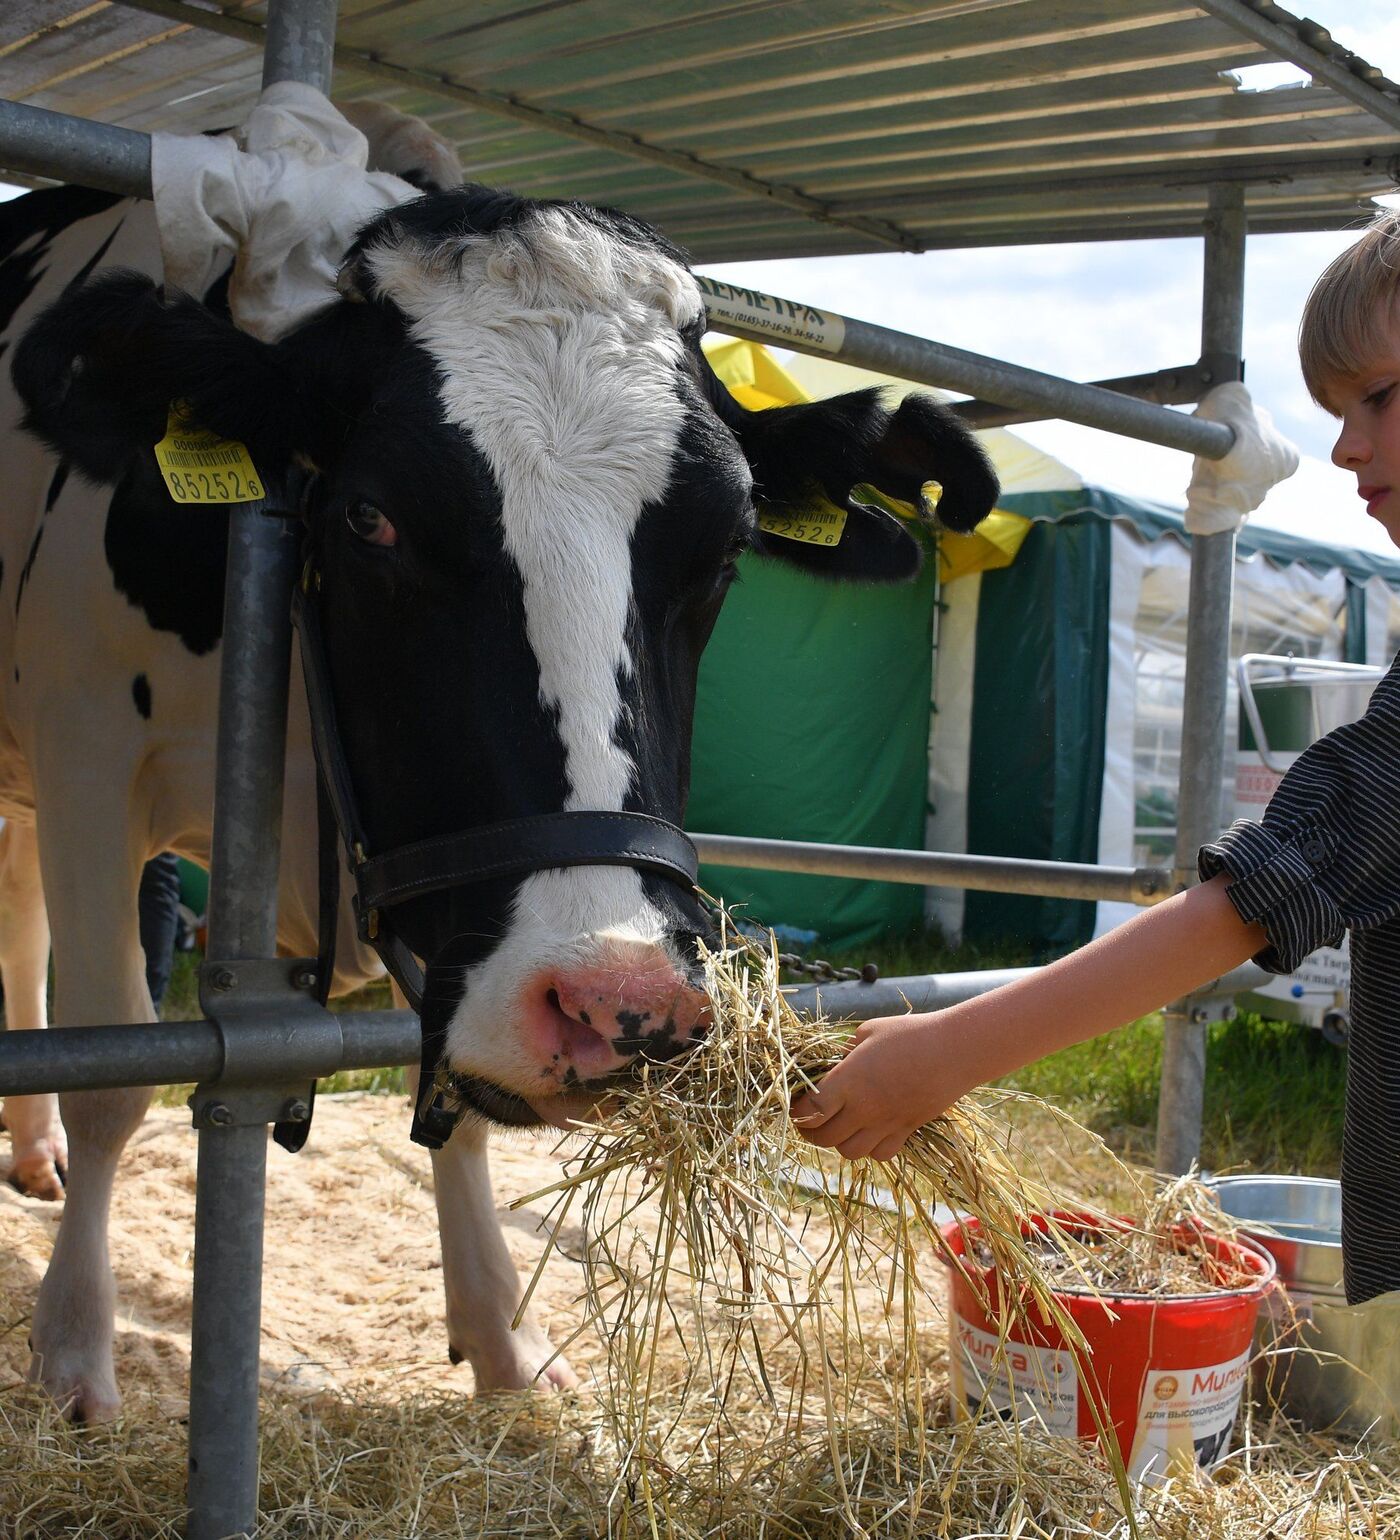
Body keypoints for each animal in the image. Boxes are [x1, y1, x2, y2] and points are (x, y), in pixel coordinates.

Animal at [5, 168, 998, 1416]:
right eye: (369, 515)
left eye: (725, 549)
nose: (622, 1008)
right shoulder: (87, 752)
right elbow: (113, 1069)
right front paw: (74, 1354)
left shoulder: (423, 876)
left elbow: (456, 1097)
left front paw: (503, 1340)